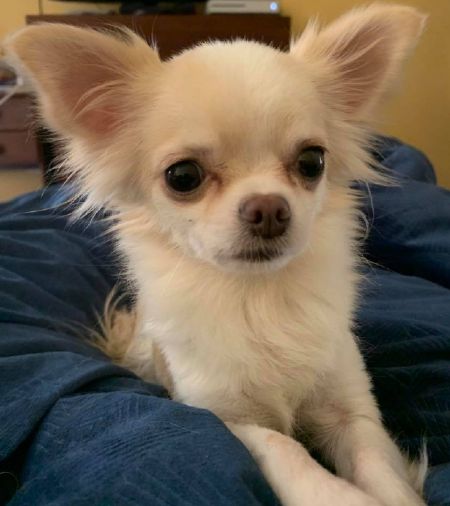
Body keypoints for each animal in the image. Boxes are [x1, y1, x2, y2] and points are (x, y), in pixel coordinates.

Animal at [6, 4, 427, 505]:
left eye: (312, 162)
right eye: (183, 176)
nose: (269, 208)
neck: (257, 298)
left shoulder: (351, 411)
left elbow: (382, 471)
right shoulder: (229, 419)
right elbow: (286, 450)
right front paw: (338, 496)